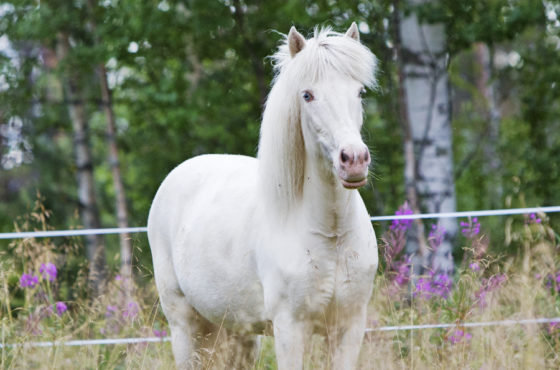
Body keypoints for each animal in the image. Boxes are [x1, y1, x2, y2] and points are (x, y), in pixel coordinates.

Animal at [147, 22, 378, 368]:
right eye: (307, 95)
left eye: (360, 92)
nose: (353, 160)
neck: (330, 237)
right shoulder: (290, 330)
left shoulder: (348, 329)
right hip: (185, 326)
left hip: (235, 331)